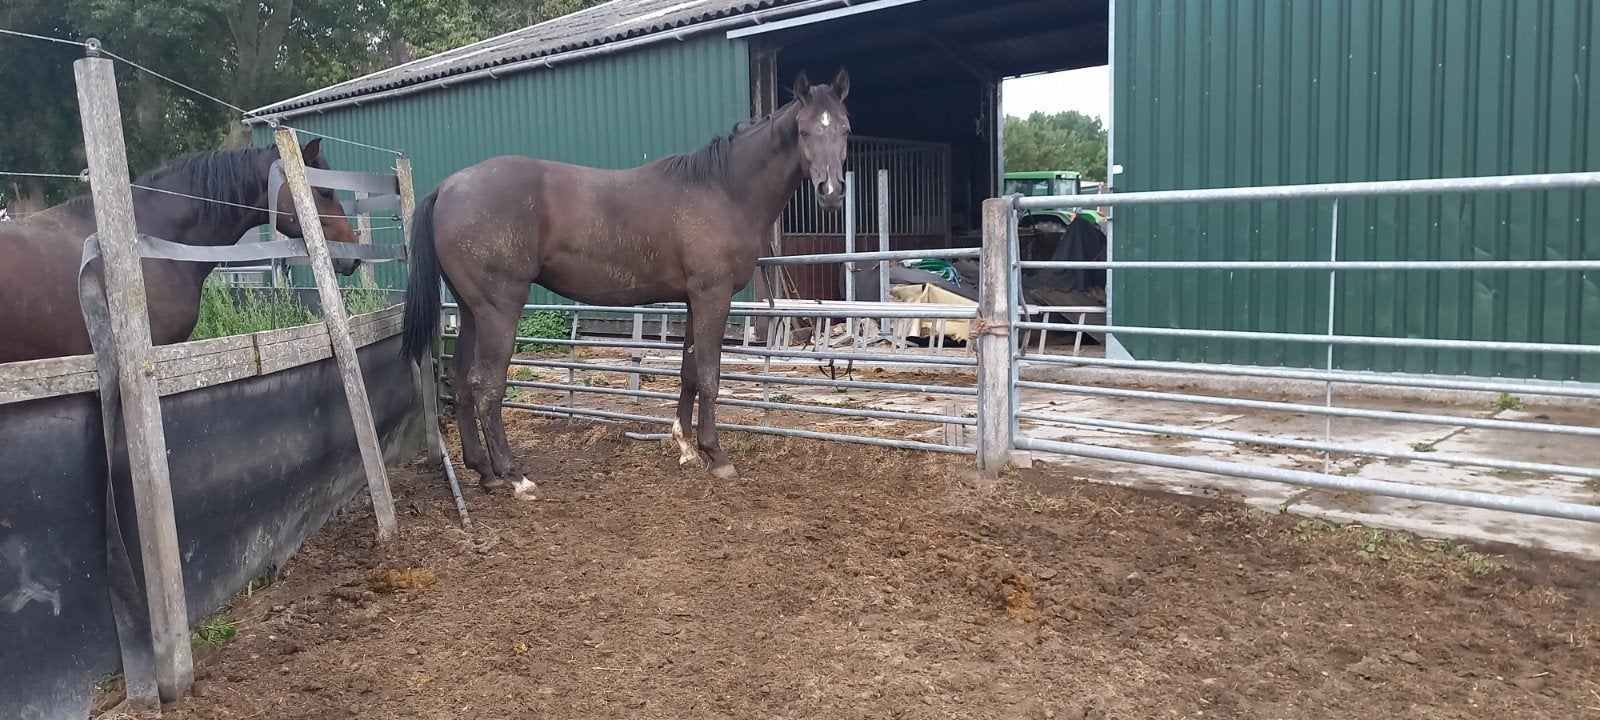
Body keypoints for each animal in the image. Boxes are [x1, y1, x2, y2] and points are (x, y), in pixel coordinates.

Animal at [403, 69, 852, 498]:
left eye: (845, 128)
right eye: (805, 131)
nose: (830, 192)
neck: (723, 189)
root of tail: (447, 188)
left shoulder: (693, 299)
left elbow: (689, 372)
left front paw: (685, 447)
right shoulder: (714, 295)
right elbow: (709, 375)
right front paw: (716, 455)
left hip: (471, 310)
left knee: (462, 382)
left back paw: (485, 472)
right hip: (499, 309)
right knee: (486, 386)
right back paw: (515, 477)